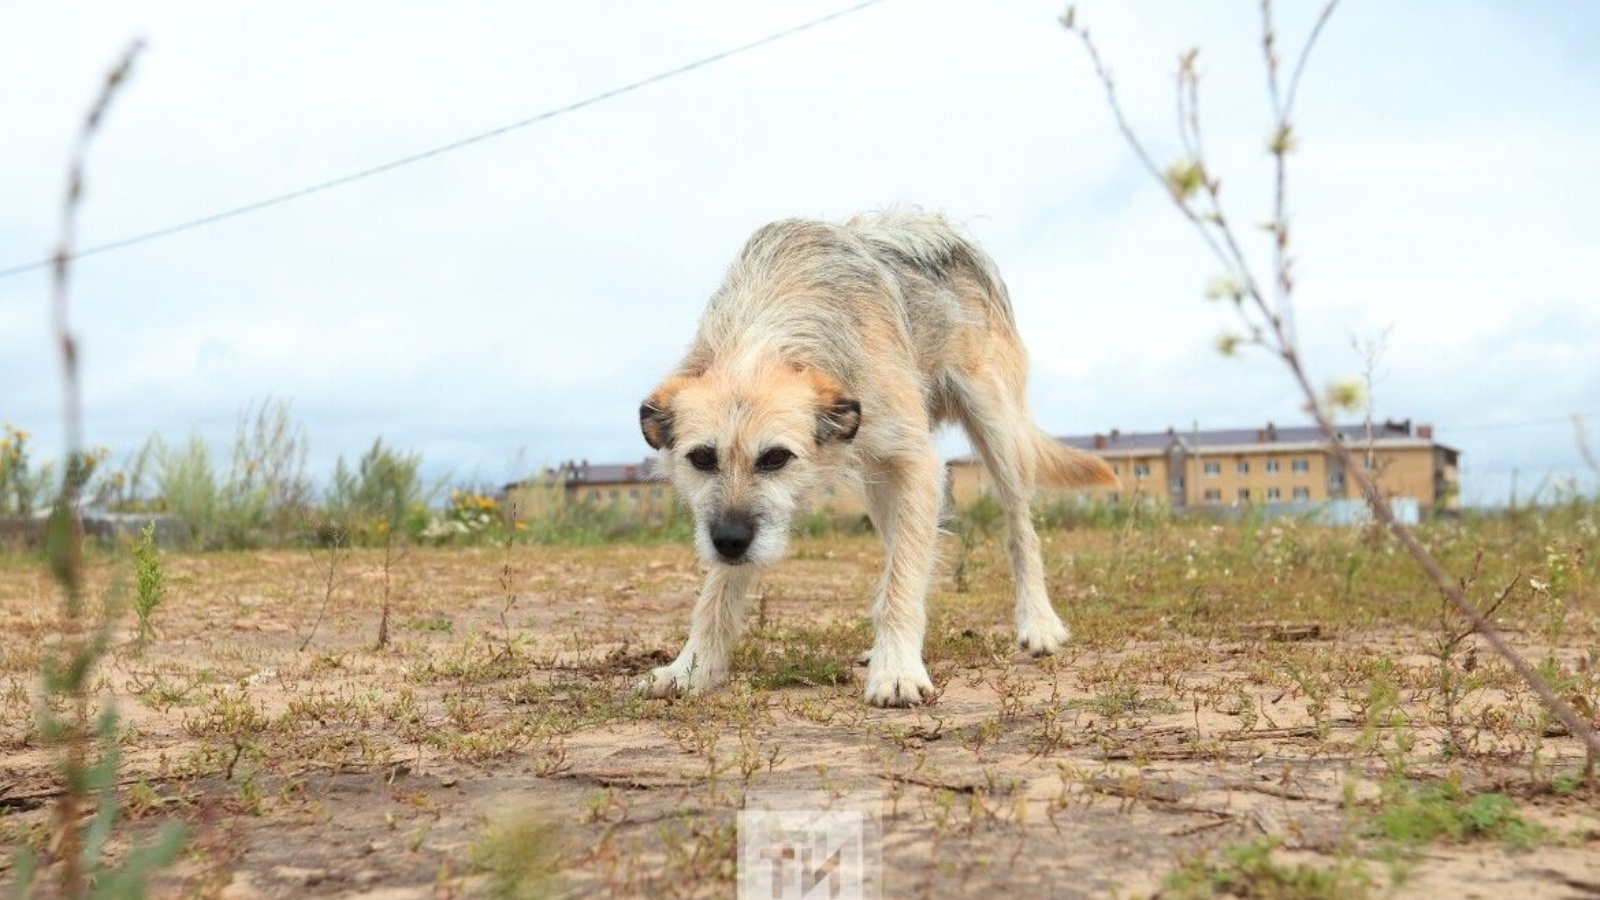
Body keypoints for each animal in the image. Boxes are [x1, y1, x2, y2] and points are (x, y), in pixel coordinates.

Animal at [635, 209, 1116, 707]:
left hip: (997, 432)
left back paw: (1038, 623)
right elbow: (716, 593)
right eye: (702, 458)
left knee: (1021, 532)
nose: (730, 541)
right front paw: (691, 668)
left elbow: (904, 579)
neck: (766, 329)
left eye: (775, 458)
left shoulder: (918, 465)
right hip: (880, 484)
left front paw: (898, 670)